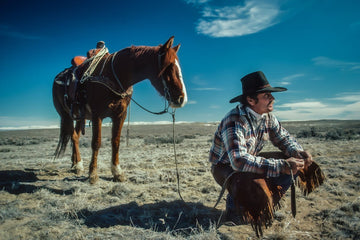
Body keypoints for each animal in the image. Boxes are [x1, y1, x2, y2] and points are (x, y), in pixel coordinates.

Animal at [54, 37, 188, 184]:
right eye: (169, 66)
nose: (182, 99)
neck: (114, 75)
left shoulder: (120, 115)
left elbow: (116, 141)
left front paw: (117, 172)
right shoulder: (97, 115)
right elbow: (96, 143)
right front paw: (93, 174)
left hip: (80, 117)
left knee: (76, 136)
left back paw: (75, 164)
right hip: (66, 115)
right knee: (73, 136)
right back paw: (78, 165)